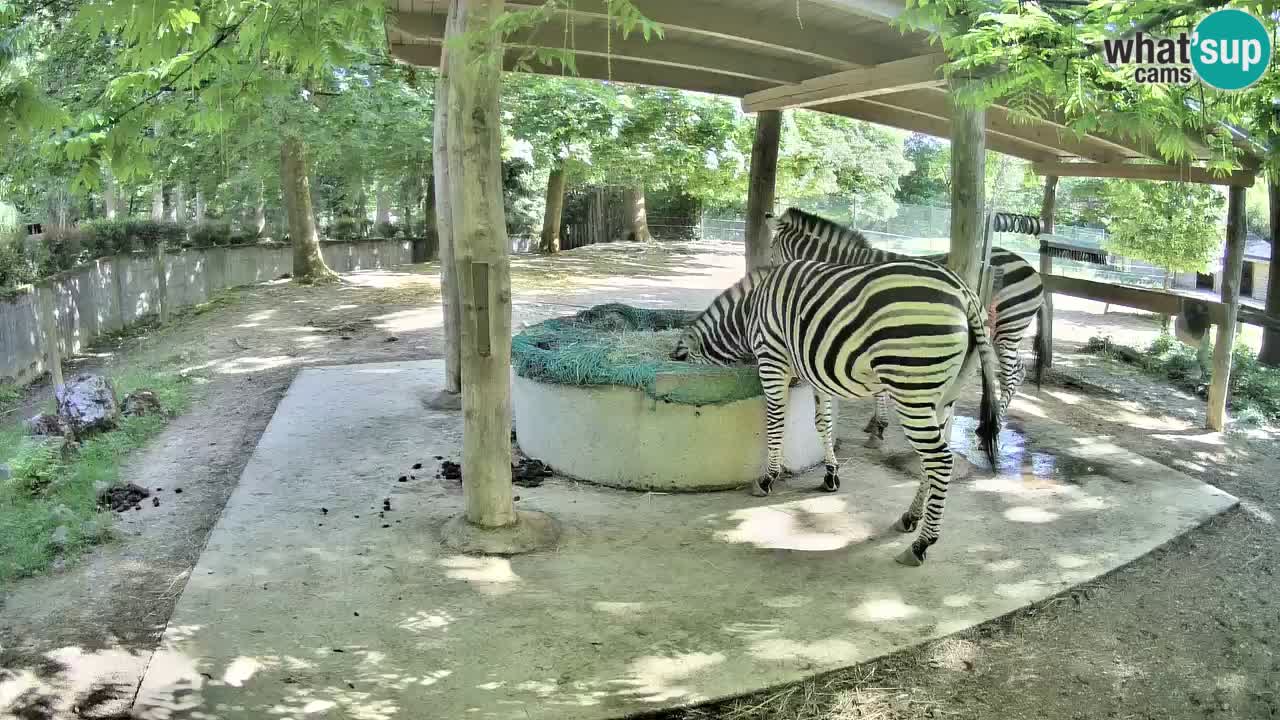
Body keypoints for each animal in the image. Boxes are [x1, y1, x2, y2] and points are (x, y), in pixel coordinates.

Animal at [669, 258, 1000, 566]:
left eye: (682, 359)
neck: (749, 312)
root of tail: (964, 291)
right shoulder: (816, 372)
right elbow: (823, 423)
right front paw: (831, 474)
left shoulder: (771, 358)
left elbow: (776, 420)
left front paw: (768, 478)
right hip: (946, 394)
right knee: (928, 462)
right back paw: (910, 517)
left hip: (911, 387)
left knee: (940, 460)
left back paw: (921, 544)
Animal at [768, 207, 1046, 447]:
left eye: (773, 251)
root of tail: (1033, 269)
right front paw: (878, 422)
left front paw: (879, 424)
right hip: (1003, 333)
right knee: (1018, 371)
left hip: (1007, 328)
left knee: (1011, 375)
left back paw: (994, 425)